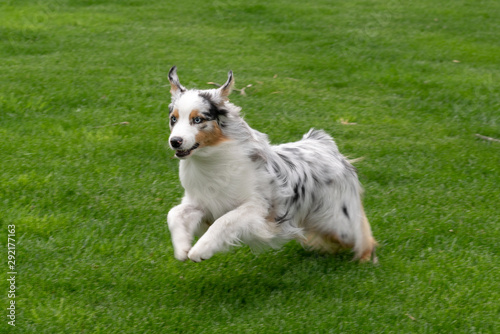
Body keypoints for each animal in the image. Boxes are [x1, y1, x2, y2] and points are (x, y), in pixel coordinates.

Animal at [166, 66, 376, 264]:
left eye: (198, 119)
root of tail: (324, 143)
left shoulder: (258, 207)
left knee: (362, 233)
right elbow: (174, 213)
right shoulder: (203, 203)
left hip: (338, 222)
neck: (211, 160)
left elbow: (225, 221)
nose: (175, 141)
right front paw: (182, 248)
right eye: (173, 119)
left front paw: (200, 250)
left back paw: (365, 259)